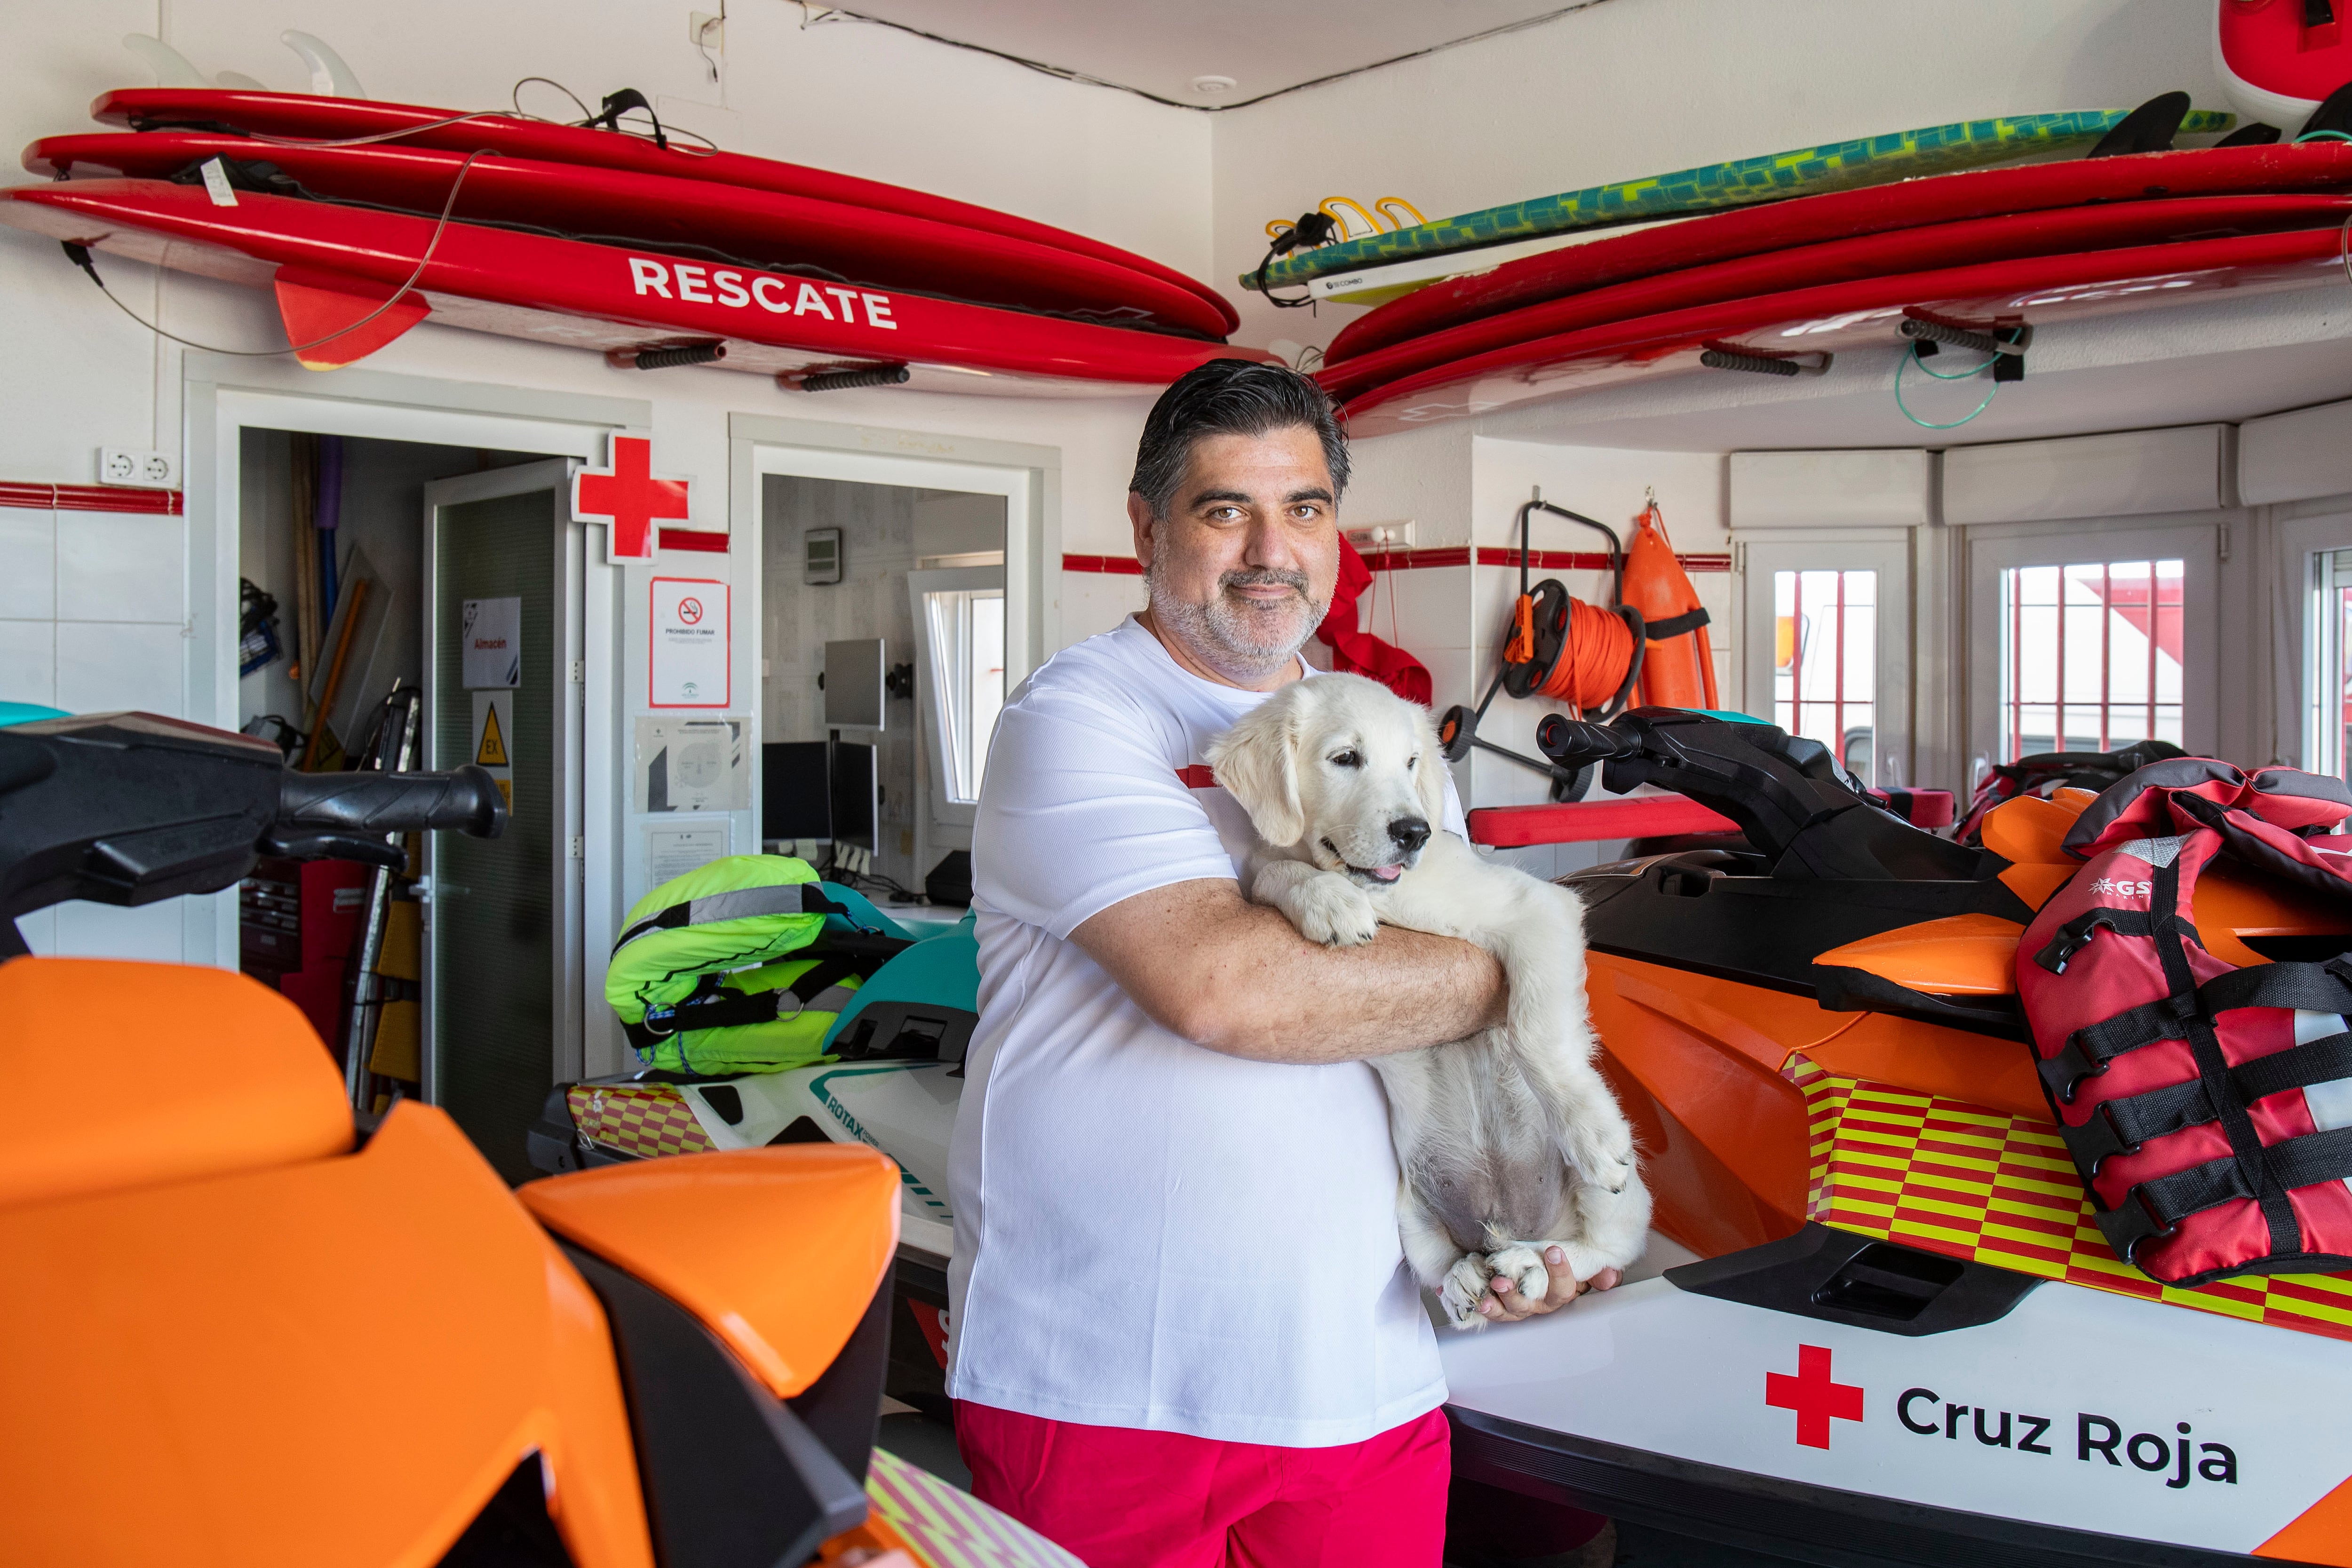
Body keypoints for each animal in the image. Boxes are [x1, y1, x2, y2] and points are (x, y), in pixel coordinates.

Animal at [1214, 672, 1656, 1326]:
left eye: (1411, 763)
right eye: (1345, 759)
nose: (1413, 832)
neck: (1385, 892)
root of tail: (1504, 1224)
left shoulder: (1539, 909)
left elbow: (1534, 1033)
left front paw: (1590, 1131)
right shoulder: (1268, 867)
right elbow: (1271, 870)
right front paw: (1326, 902)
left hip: (1615, 1206)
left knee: (1603, 1248)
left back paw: (1531, 1263)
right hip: (1407, 1214)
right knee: (1444, 1261)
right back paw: (1466, 1280)